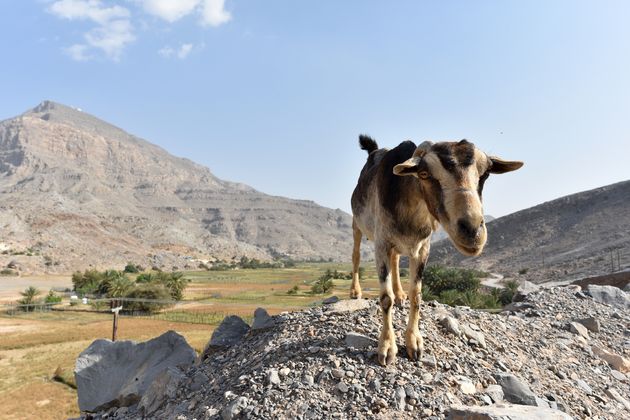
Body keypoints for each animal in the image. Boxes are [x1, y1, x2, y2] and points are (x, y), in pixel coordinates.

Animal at [350, 136, 524, 366]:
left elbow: (417, 295)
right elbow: (385, 298)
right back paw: (355, 291)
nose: (472, 230)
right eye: (424, 174)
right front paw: (387, 347)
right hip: (357, 225)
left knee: (396, 259)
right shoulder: (381, 243)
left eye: (485, 173)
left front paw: (414, 343)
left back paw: (400, 294)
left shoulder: (423, 247)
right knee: (356, 255)